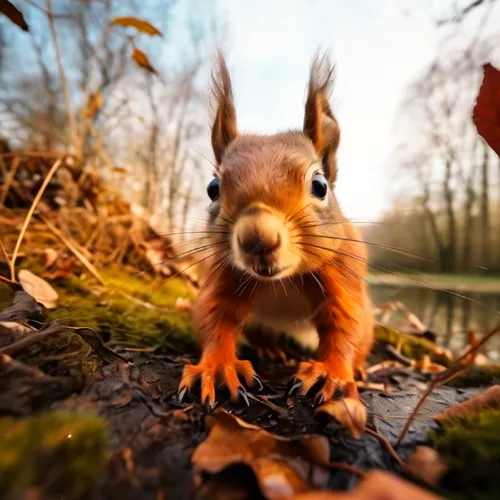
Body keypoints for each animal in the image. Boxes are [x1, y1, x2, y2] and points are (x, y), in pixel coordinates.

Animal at [178, 52, 374, 408]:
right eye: (213, 189)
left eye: (320, 185)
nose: (257, 237)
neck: (283, 281)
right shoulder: (225, 274)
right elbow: (214, 318)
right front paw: (217, 367)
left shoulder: (341, 272)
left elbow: (344, 326)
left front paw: (331, 372)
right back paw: (271, 349)